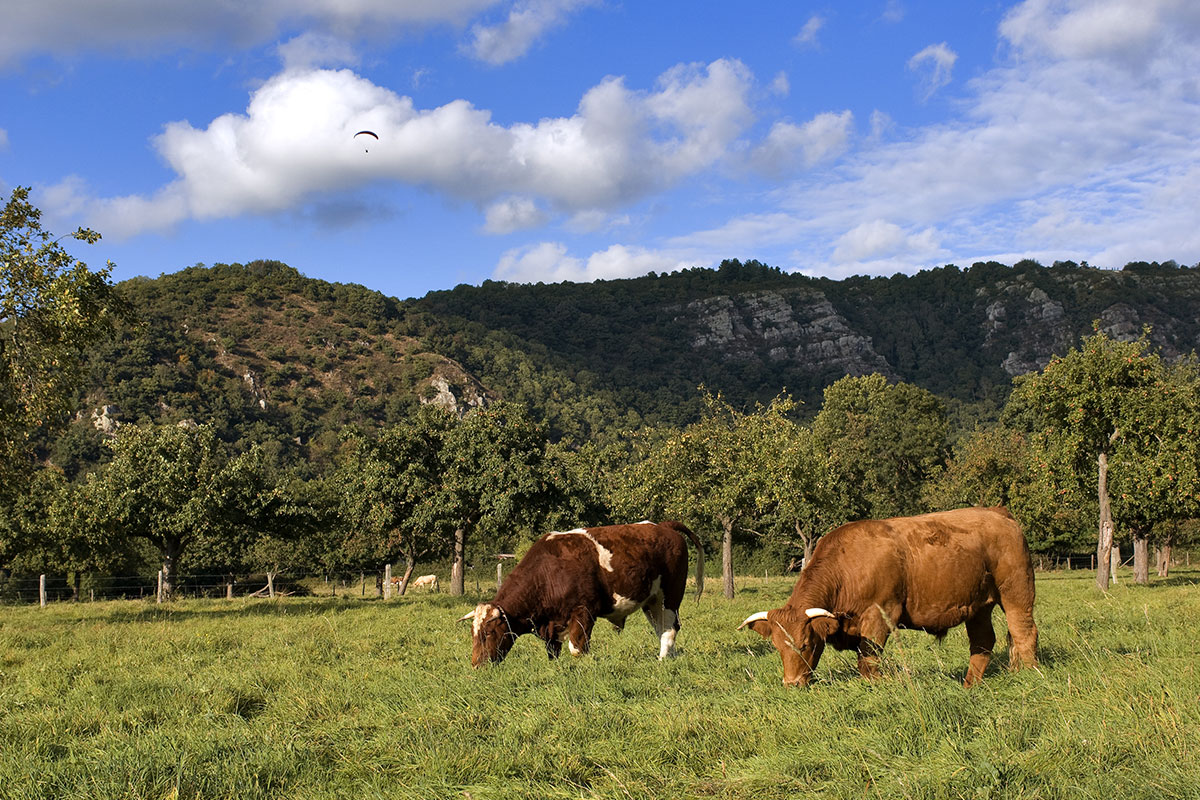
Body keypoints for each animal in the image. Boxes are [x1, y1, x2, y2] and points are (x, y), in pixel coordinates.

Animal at [458, 522, 700, 666]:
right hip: (652, 601)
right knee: (661, 628)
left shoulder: (584, 612)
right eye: (473, 633)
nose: (477, 665)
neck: (548, 572)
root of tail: (663, 525)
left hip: (670, 596)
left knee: (669, 629)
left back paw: (662, 660)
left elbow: (577, 649)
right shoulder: (551, 626)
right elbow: (552, 653)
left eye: (488, 633)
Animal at [734, 506, 1036, 690]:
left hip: (1016, 590)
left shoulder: (880, 615)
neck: (847, 567)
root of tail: (998, 512)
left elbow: (868, 662)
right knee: (983, 642)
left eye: (805, 644)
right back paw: (969, 685)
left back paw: (1029, 676)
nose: (792, 684)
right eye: (777, 646)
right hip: (978, 606)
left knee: (1023, 632)